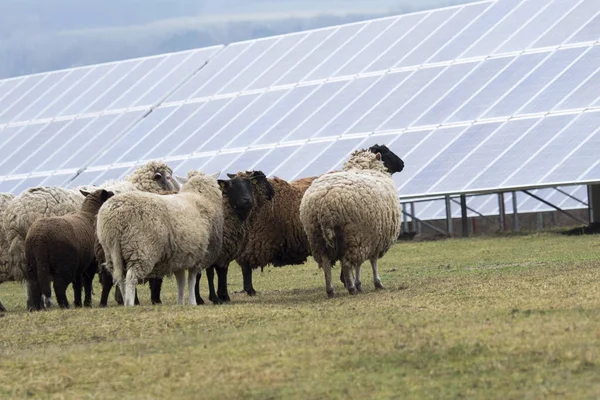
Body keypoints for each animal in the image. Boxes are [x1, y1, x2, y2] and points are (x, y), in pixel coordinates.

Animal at [98, 170, 225, 306]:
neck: (200, 197)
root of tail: (115, 220)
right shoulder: (198, 257)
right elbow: (192, 280)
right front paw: (192, 302)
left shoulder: (179, 257)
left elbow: (181, 281)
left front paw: (180, 302)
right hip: (141, 249)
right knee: (131, 277)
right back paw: (130, 303)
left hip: (112, 251)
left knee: (121, 279)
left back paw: (125, 301)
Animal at [298, 144, 404, 296]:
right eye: (387, 153)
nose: (402, 164)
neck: (364, 168)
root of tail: (322, 204)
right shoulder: (373, 237)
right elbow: (372, 261)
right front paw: (374, 283)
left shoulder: (369, 237)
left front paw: (360, 283)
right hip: (351, 233)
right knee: (347, 263)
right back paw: (351, 287)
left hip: (316, 237)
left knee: (326, 263)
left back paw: (330, 290)